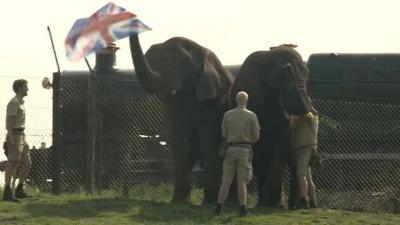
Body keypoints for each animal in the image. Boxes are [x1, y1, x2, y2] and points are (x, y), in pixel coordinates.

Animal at [129, 34, 234, 204]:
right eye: (154, 62)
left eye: (186, 63)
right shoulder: (175, 102)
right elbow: (180, 140)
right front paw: (180, 201)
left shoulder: (215, 99)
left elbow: (209, 141)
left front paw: (208, 202)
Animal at [230, 44, 310, 208]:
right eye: (278, 78)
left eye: (307, 75)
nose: (288, 66)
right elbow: (258, 151)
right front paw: (264, 204)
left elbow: (279, 146)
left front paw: (274, 204)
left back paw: (292, 206)